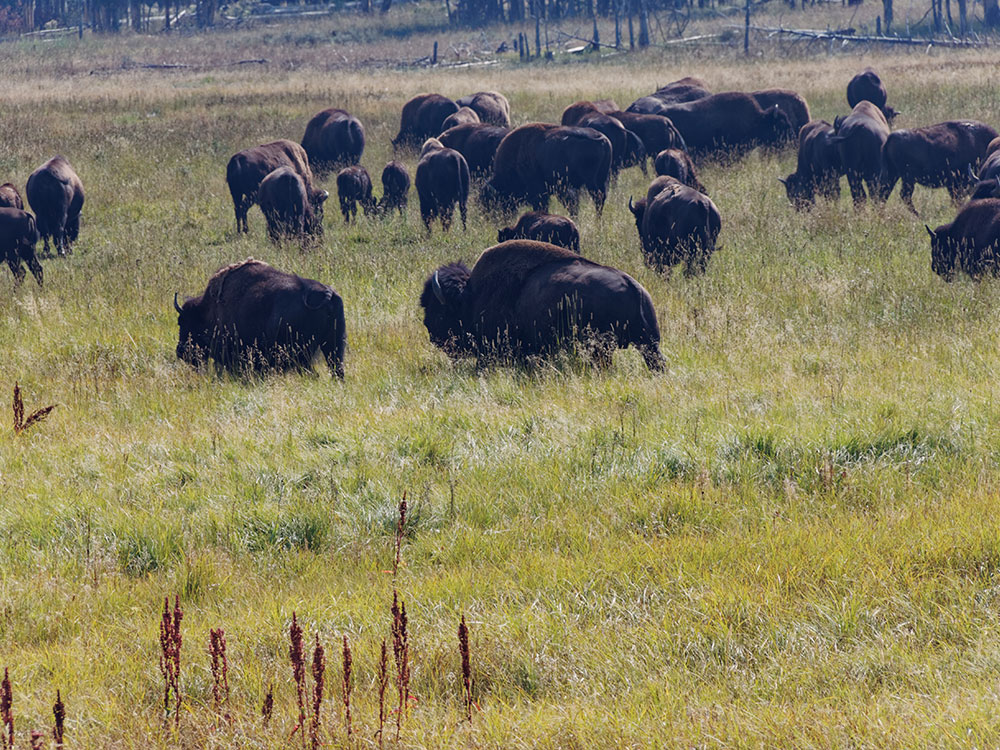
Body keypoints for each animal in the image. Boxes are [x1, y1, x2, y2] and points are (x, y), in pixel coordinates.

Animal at [175, 258, 346, 378]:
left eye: (182, 322)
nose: (180, 351)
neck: (209, 310)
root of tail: (327, 294)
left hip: (303, 354)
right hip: (333, 346)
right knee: (337, 370)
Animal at [420, 239, 665, 370]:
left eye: (437, 309)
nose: (430, 331)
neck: (472, 295)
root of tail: (633, 285)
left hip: (603, 347)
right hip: (648, 343)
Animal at [481, 123, 612, 217]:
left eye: (493, 201)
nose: (492, 218)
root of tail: (601, 138)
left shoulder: (540, 192)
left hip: (591, 182)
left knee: (597, 198)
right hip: (601, 178)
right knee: (601, 198)